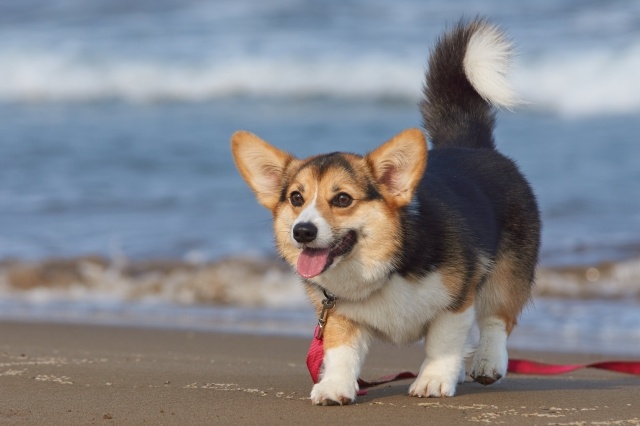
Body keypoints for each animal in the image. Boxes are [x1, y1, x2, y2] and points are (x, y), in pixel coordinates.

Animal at [230, 19, 540, 406]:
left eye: (342, 199)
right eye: (296, 198)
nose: (302, 231)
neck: (384, 266)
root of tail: (471, 146)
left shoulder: (456, 301)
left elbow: (443, 343)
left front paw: (433, 380)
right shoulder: (337, 314)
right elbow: (341, 353)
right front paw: (334, 386)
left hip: (507, 273)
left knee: (497, 319)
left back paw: (487, 362)